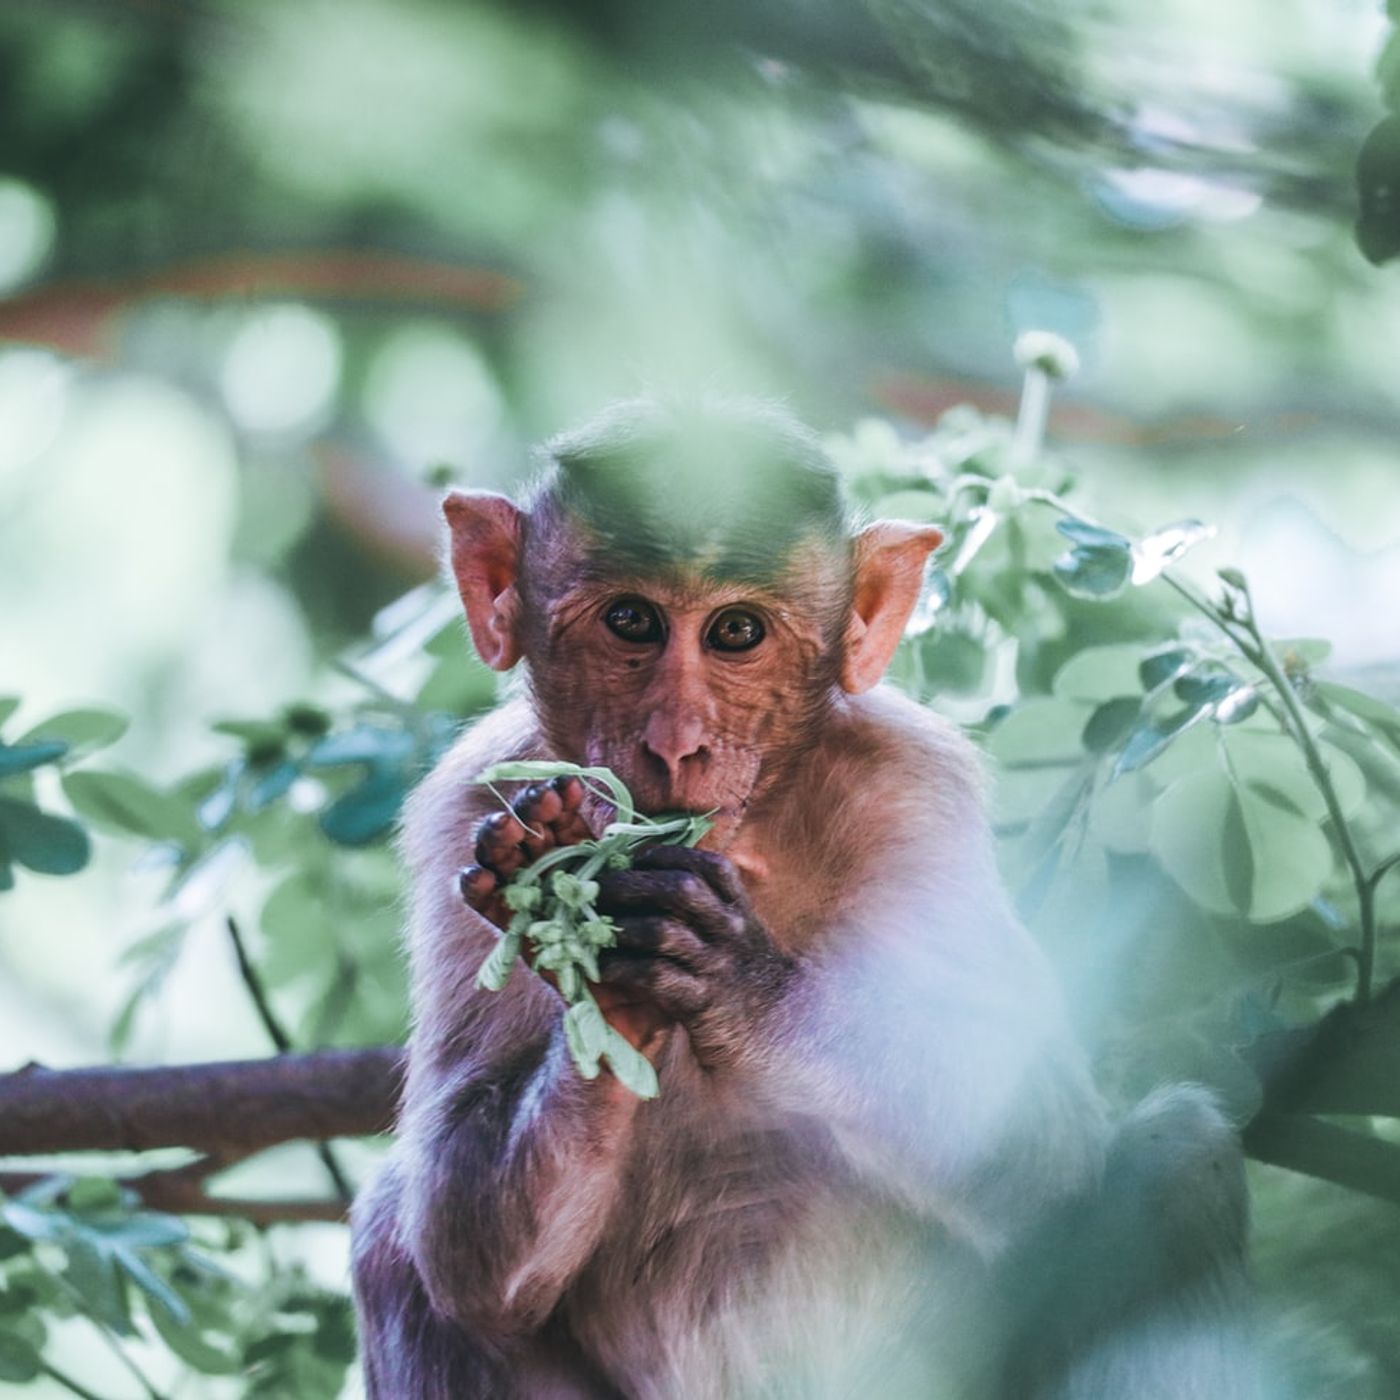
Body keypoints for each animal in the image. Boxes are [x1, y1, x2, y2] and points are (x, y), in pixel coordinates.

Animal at [350, 396, 1256, 1399]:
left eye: (737, 633)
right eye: (630, 620)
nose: (677, 741)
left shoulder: (912, 793)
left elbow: (1041, 1145)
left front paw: (731, 977)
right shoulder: (461, 811)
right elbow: (460, 1248)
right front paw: (604, 967)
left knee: (1179, 1155)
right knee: (395, 1248)